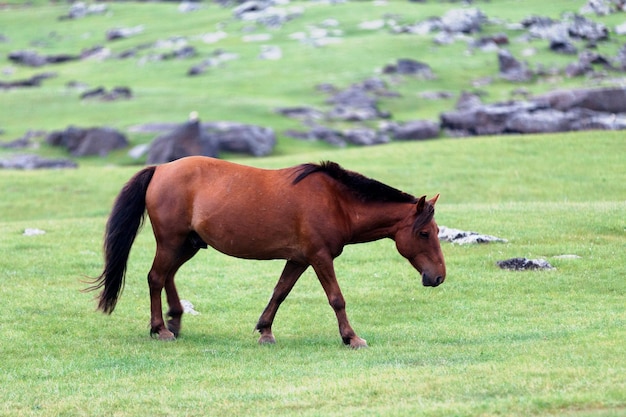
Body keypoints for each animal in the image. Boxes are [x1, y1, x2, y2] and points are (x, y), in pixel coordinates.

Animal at [88, 154, 444, 346]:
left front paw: (265, 330)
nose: (438, 277)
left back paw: (174, 321)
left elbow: (279, 292)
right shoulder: (319, 258)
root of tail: (161, 168)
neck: (337, 202)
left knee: (167, 277)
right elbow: (336, 299)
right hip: (172, 241)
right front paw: (351, 337)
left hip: (187, 244)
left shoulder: (299, 259)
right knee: (155, 278)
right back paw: (160, 328)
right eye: (425, 233)